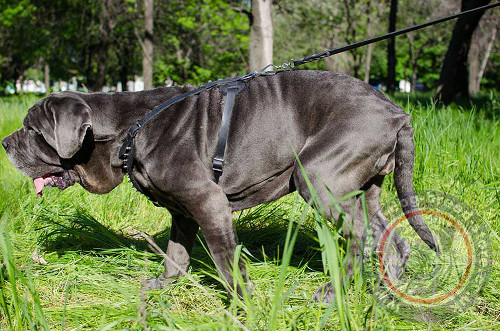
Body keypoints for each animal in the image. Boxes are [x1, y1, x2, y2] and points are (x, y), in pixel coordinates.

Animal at [1, 70, 436, 304]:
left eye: (32, 131)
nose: (5, 142)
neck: (129, 129)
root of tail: (397, 112)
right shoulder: (182, 210)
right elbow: (176, 254)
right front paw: (160, 287)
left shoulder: (208, 202)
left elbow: (227, 261)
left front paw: (244, 305)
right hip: (366, 188)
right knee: (392, 239)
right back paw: (388, 290)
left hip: (318, 177)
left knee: (358, 235)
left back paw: (333, 292)